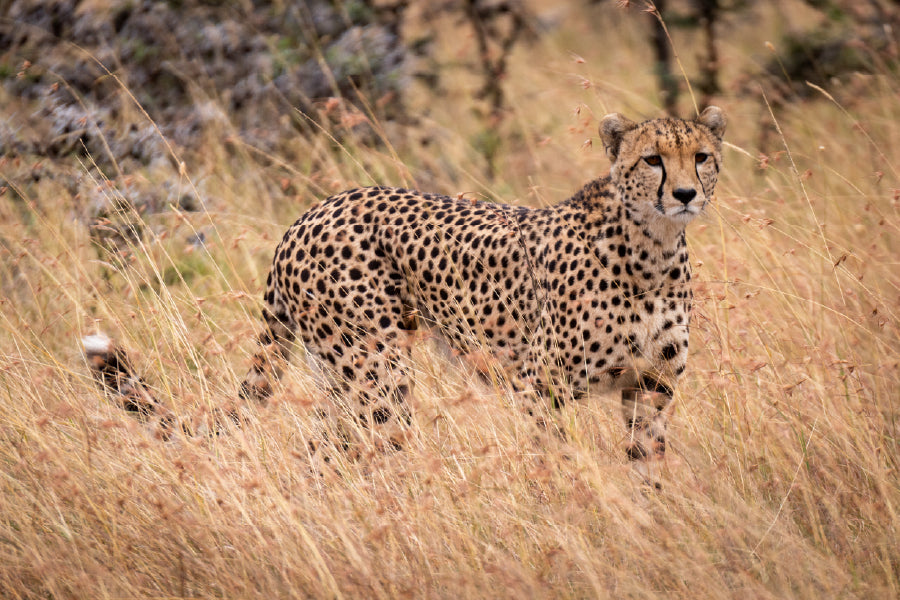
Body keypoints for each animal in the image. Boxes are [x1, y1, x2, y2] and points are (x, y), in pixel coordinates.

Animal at [88, 106, 728, 464]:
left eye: (701, 156)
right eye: (651, 160)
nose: (685, 194)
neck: (652, 249)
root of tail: (311, 211)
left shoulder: (652, 387)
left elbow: (647, 469)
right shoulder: (541, 386)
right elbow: (559, 463)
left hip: (343, 373)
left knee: (324, 449)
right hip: (377, 368)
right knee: (356, 447)